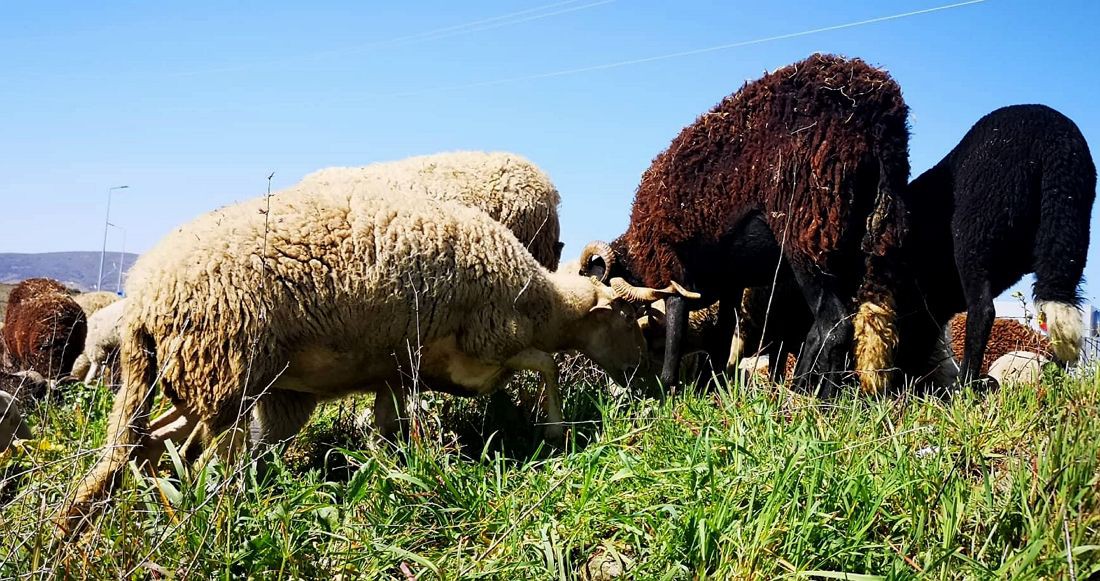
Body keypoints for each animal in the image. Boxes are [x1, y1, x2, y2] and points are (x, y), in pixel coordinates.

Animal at [60, 180, 642, 534]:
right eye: (630, 320)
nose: (645, 383)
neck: (542, 303)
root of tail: (144, 294)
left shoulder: (398, 370)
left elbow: (387, 426)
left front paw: (393, 472)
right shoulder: (480, 351)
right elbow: (546, 363)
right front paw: (556, 429)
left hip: (203, 378)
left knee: (146, 446)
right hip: (225, 371)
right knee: (196, 459)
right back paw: (208, 514)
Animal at [580, 53, 906, 393]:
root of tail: (879, 118)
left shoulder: (674, 273)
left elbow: (675, 338)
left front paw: (667, 390)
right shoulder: (730, 283)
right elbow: (722, 338)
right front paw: (713, 388)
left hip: (808, 232)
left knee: (835, 325)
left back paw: (816, 398)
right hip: (864, 240)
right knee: (823, 328)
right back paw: (801, 387)